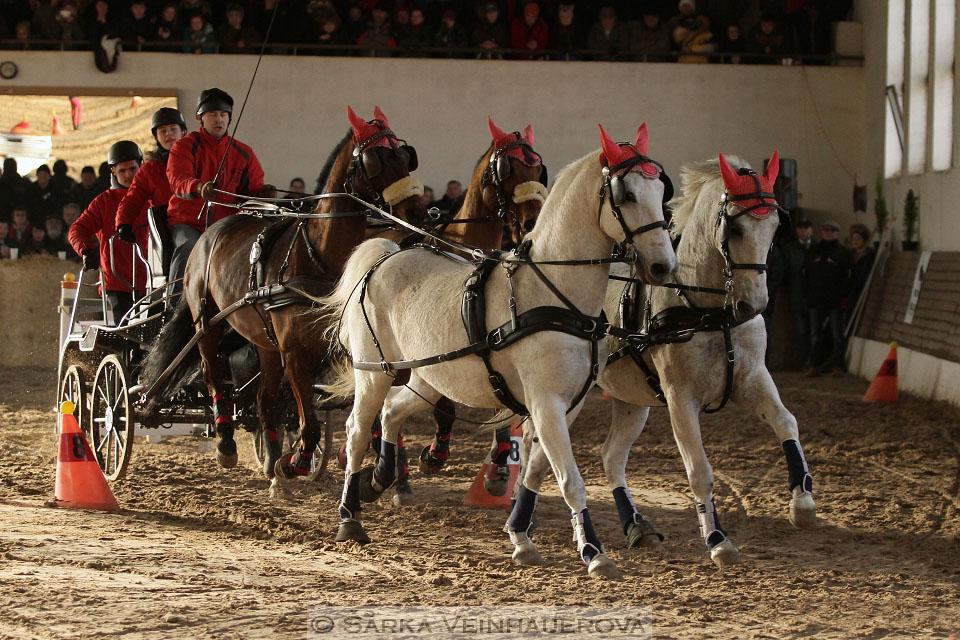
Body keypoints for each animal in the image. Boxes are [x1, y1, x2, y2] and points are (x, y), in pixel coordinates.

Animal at [143, 105, 424, 482]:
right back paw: (227, 442)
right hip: (207, 323)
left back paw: (273, 457)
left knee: (264, 401)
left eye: (406, 157)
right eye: (377, 158)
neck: (318, 257)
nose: (418, 211)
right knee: (214, 377)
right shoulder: (294, 351)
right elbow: (309, 422)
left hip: (264, 342)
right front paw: (300, 460)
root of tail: (212, 231)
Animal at [320, 125, 676, 580]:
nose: (664, 267)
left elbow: (537, 471)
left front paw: (521, 537)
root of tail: (384, 256)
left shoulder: (568, 404)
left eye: (661, 189)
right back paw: (349, 516)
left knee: (392, 413)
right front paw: (594, 552)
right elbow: (570, 480)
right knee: (357, 430)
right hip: (374, 371)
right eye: (626, 194)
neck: (555, 295)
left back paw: (380, 479)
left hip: (428, 379)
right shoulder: (545, 401)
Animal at [516, 152, 816, 568]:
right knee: (535, 450)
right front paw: (718, 539)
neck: (708, 310)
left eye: (773, 227)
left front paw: (802, 503)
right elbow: (699, 470)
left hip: (630, 401)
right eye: (736, 229)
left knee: (610, 457)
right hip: (566, 396)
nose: (753, 304)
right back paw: (524, 525)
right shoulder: (680, 397)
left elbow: (787, 423)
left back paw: (636, 526)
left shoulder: (752, 377)